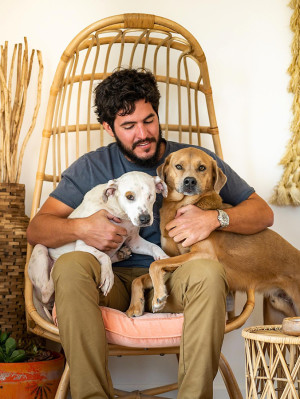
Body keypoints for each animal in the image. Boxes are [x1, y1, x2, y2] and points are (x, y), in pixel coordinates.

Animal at [28, 170, 169, 320]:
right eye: (129, 196)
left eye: (150, 196)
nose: (145, 219)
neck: (118, 212)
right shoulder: (83, 244)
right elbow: (103, 256)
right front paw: (108, 277)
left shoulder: (134, 242)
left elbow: (154, 246)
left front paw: (163, 258)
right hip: (40, 248)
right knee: (46, 291)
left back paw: (121, 254)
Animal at [126, 147, 300, 318]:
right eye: (179, 166)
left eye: (202, 168)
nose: (190, 181)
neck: (181, 205)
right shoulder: (170, 259)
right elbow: (139, 278)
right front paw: (135, 306)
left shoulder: (203, 253)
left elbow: (154, 264)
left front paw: (158, 297)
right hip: (278, 305)